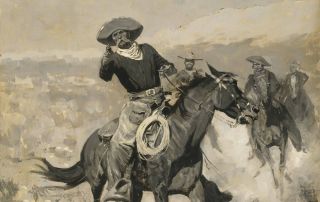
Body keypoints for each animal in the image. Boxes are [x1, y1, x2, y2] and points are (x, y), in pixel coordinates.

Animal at [33, 65, 258, 201]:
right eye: (230, 86)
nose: (254, 109)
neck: (180, 141)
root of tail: (89, 142)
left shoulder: (194, 189)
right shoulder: (160, 189)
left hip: (135, 189)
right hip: (97, 183)